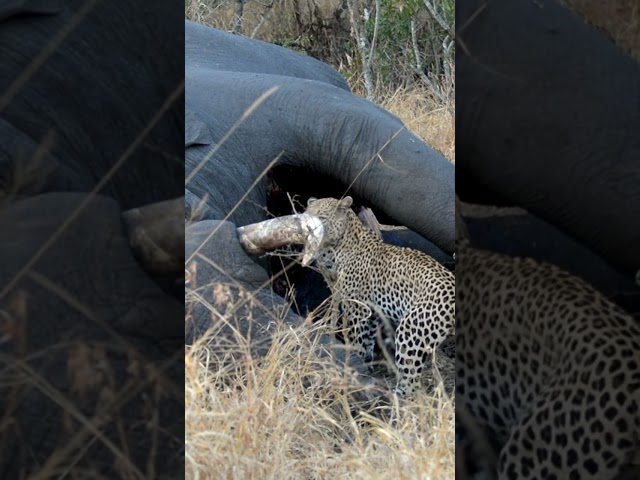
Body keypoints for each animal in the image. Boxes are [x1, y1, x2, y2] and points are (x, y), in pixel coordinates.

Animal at [302, 196, 456, 398]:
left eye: (321, 218)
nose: (306, 232)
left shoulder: (357, 310)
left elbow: (357, 342)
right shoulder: (372, 313)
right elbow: (367, 342)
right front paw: (369, 366)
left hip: (410, 331)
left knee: (411, 382)